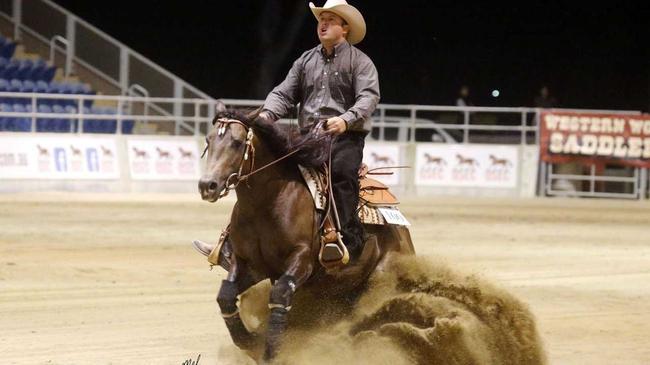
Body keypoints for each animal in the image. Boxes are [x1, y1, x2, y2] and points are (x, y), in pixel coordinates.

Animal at [195, 101, 412, 362]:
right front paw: (250, 340)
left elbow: (280, 295)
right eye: (208, 140)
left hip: (382, 274)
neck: (267, 203)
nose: (208, 185)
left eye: (237, 142)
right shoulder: (249, 264)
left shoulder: (302, 261)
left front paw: (270, 351)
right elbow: (226, 296)